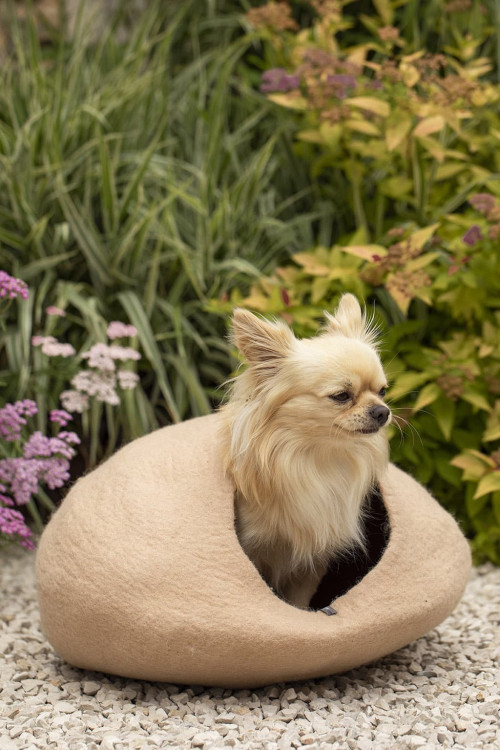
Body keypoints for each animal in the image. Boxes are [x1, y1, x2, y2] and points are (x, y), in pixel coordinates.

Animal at [222, 292, 390, 612]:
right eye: (341, 396)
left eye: (383, 391)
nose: (382, 411)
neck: (318, 458)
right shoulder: (254, 549)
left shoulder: (313, 561)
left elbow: (298, 601)